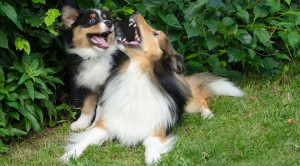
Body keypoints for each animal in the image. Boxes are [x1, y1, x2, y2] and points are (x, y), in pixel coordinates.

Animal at [60, 12, 244, 165]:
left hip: (189, 103)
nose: (135, 12)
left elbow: (151, 145)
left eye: (156, 34)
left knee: (202, 100)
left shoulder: (156, 131)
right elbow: (86, 139)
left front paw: (153, 158)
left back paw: (207, 115)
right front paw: (70, 154)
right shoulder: (105, 126)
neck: (137, 76)